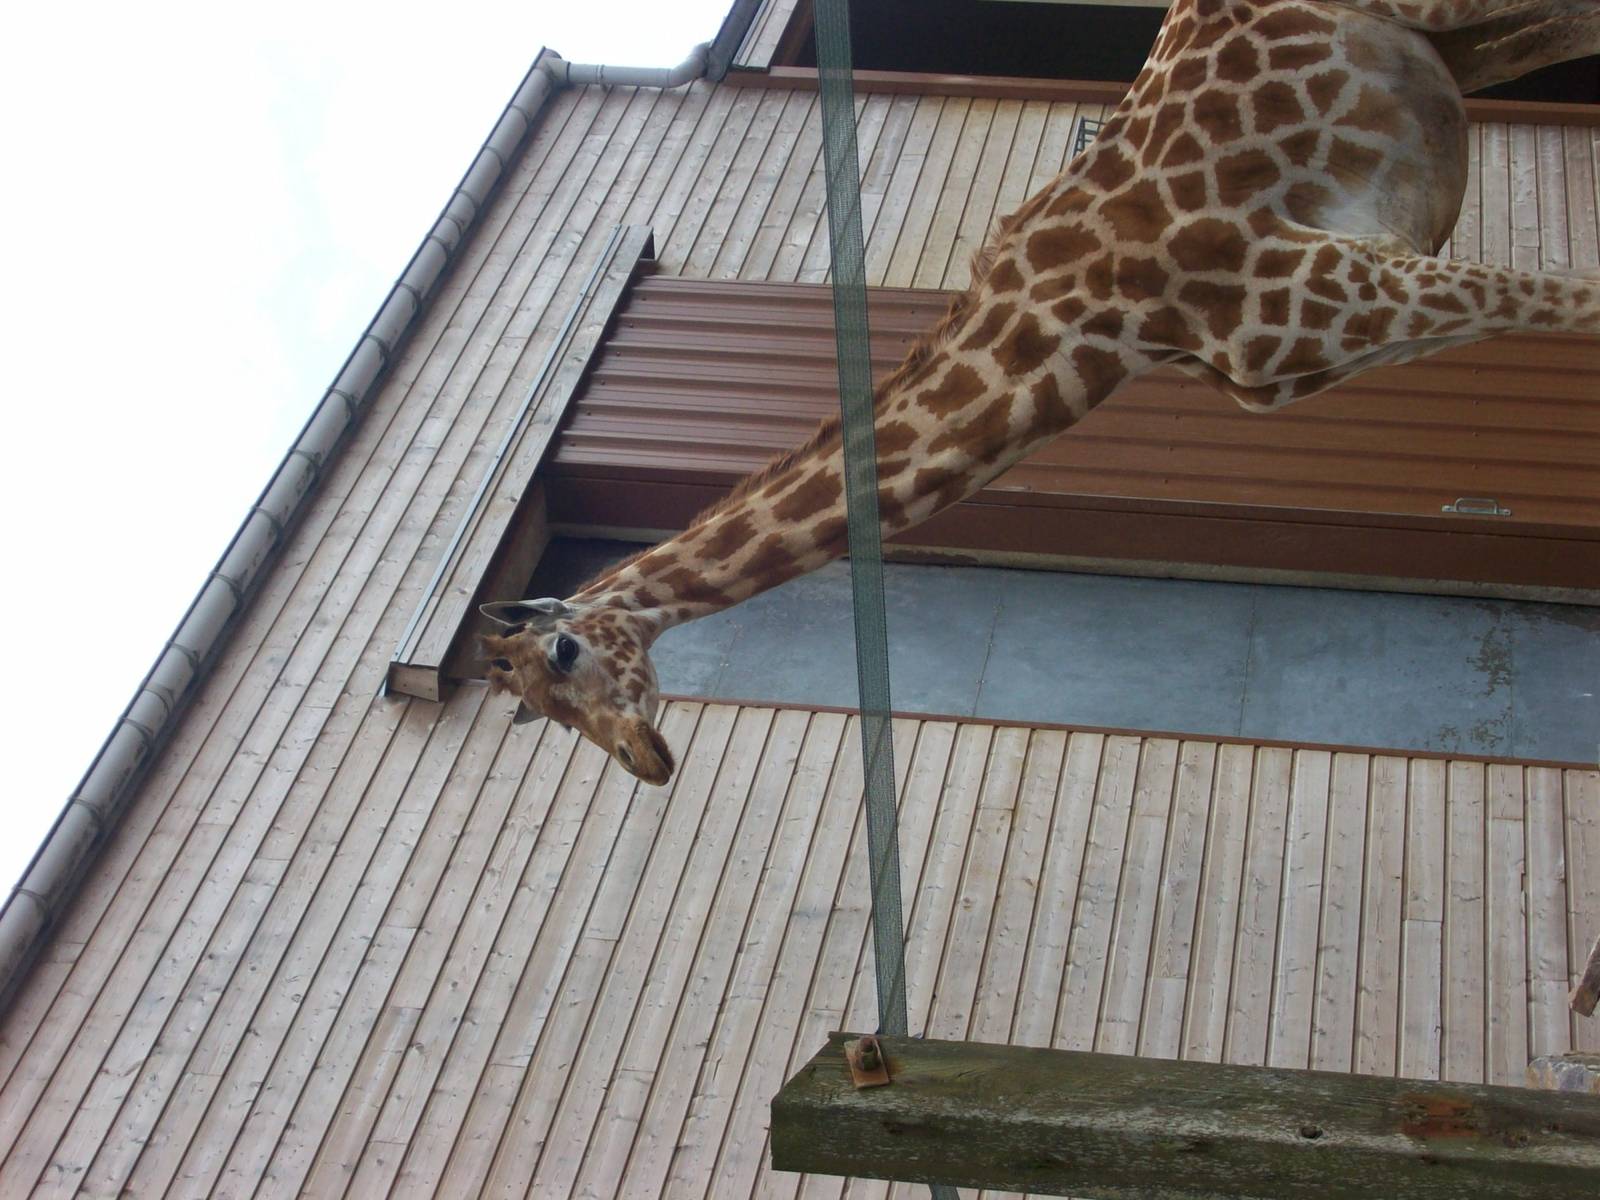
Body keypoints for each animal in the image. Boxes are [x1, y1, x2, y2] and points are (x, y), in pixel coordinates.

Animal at [483, 0, 1600, 784]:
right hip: (1456, 45)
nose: (648, 764)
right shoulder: (1340, 326)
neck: (1092, 336)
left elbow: (1582, 301)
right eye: (541, 713)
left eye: (567, 653)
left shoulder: (1346, 278)